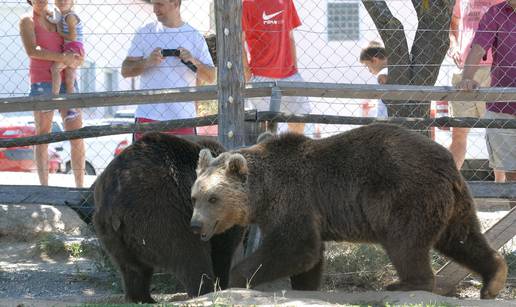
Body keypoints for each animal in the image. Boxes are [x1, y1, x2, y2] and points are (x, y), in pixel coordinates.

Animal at [93, 134, 244, 304]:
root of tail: (113, 197)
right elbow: (222, 250)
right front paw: (221, 286)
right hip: (163, 210)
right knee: (190, 252)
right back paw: (204, 290)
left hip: (109, 229)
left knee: (132, 268)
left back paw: (142, 298)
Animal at [189, 124, 508, 300]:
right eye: (194, 197)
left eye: (213, 198)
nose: (195, 225)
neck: (262, 193)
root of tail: (449, 163)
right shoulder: (306, 210)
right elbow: (309, 257)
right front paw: (305, 287)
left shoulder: (293, 200)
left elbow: (295, 247)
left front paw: (235, 280)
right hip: (453, 203)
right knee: (462, 238)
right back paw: (493, 280)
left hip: (404, 194)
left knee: (405, 242)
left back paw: (402, 284)